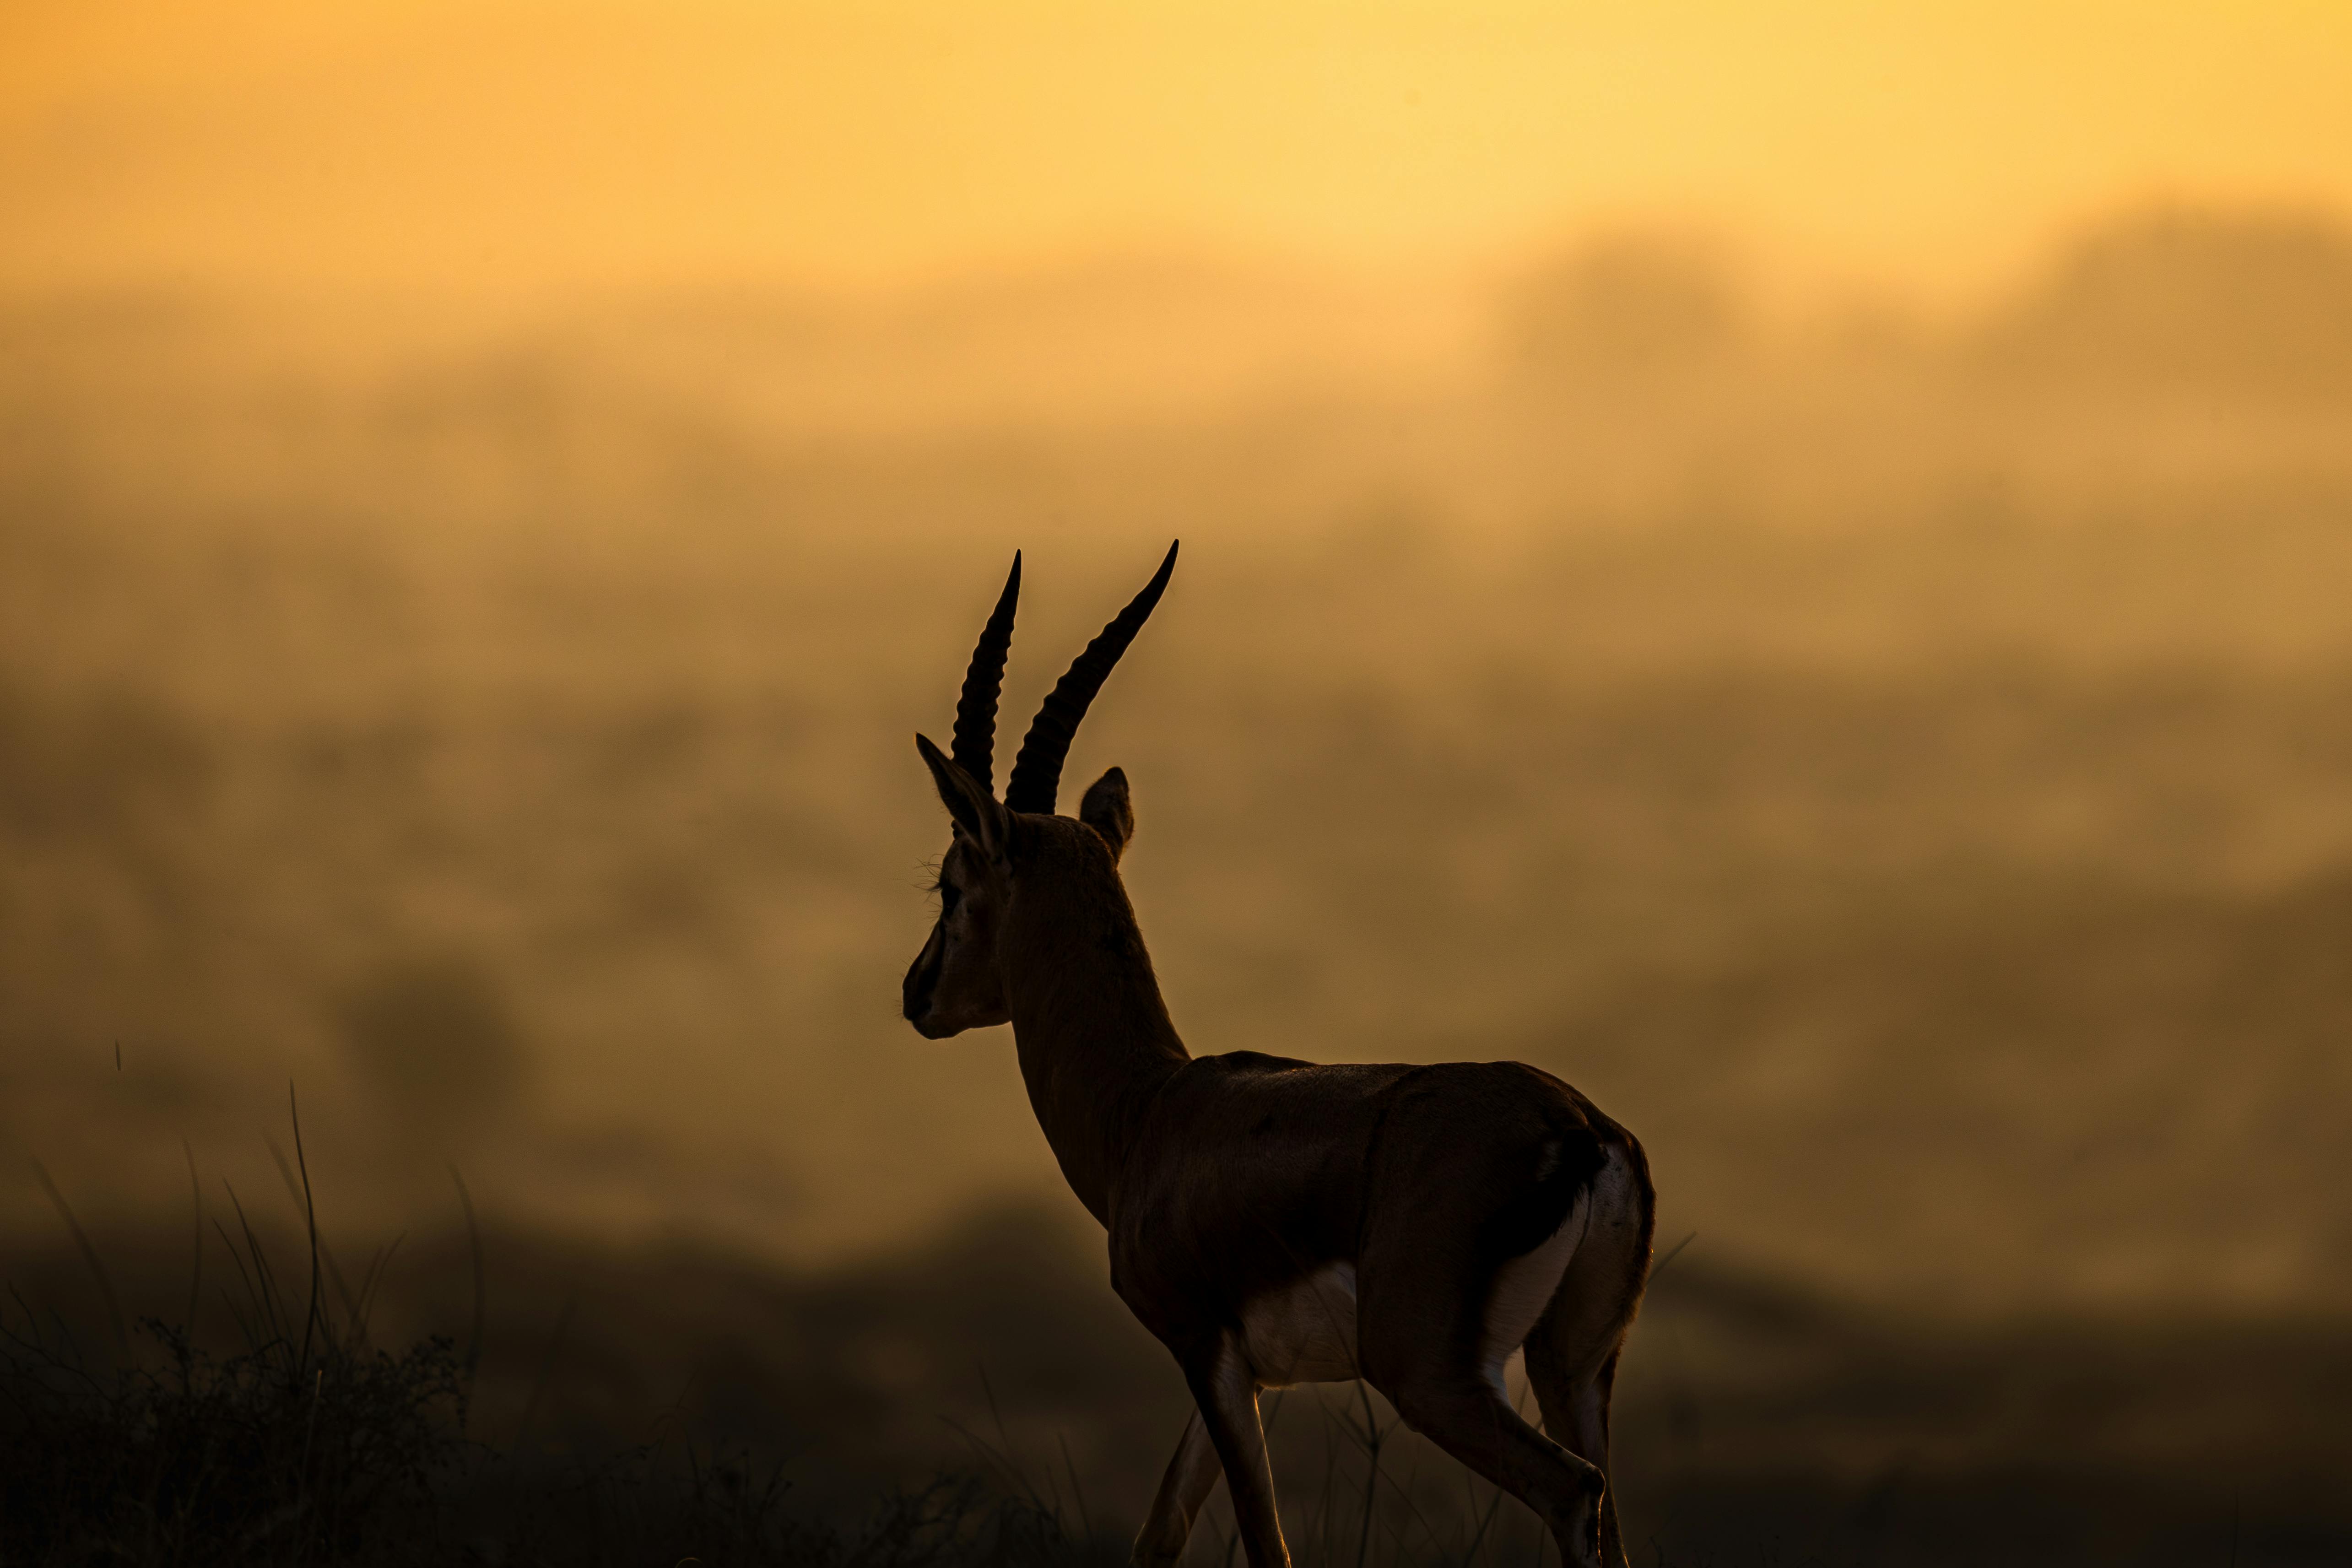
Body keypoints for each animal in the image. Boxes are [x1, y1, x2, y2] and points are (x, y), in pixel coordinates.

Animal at [901, 544, 1656, 1568]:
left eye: (949, 882)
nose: (916, 994)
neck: (1151, 1113)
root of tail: (1581, 1131)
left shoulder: (1203, 1349)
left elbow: (1265, 1545)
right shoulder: (1247, 1374)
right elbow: (1159, 1534)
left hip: (1434, 1378)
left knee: (1572, 1491)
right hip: (1573, 1370)